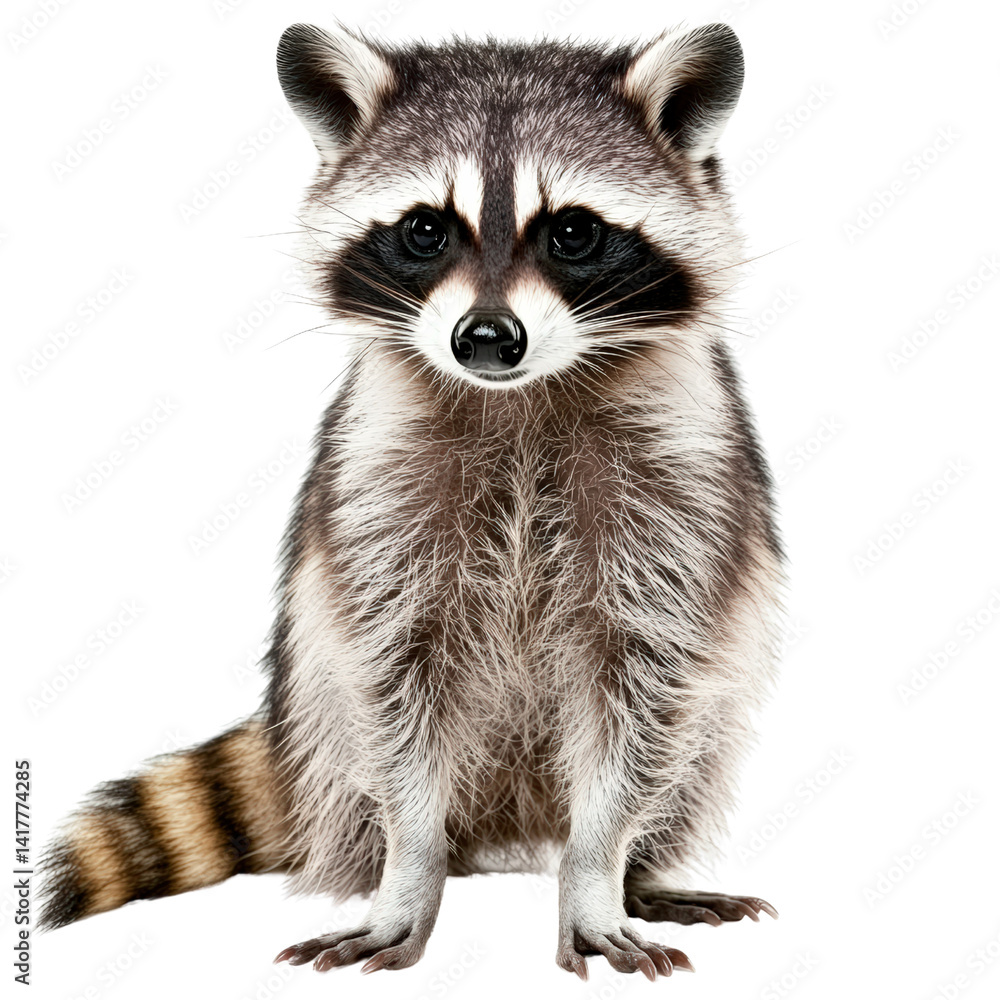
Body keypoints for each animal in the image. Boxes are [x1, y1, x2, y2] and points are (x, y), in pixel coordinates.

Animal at [40, 23, 783, 980]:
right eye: (426, 229)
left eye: (574, 232)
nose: (488, 339)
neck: (518, 397)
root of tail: (509, 828)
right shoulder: (379, 476)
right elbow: (393, 679)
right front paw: (411, 866)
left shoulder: (680, 484)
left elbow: (645, 681)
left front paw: (596, 869)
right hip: (319, 721)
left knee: (696, 741)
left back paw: (645, 872)